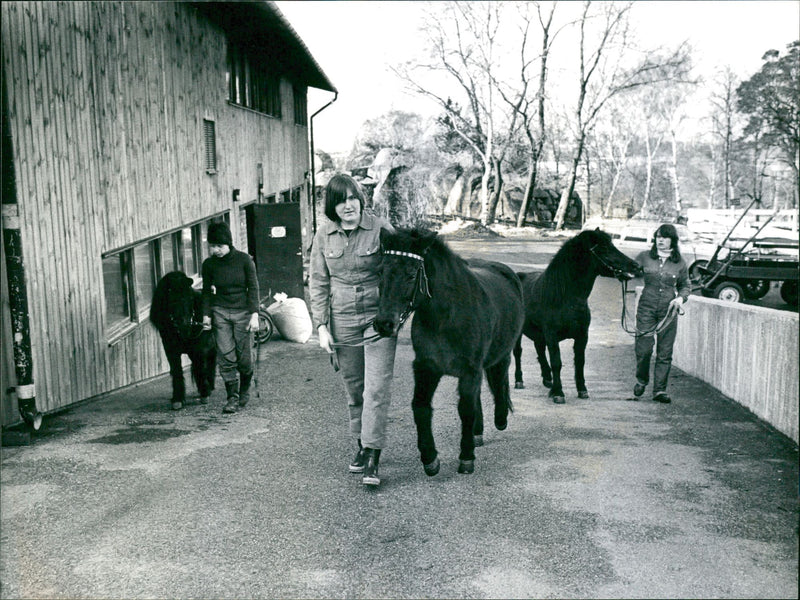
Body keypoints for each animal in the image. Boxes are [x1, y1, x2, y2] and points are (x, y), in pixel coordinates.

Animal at [149, 270, 216, 408]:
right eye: (171, 300)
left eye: (189, 298)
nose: (184, 325)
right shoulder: (170, 349)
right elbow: (177, 370)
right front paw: (178, 399)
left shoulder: (200, 346)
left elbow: (201, 365)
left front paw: (204, 393)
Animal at [374, 230, 524, 478]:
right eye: (381, 271)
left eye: (411, 274)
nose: (383, 324)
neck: (446, 318)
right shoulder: (427, 368)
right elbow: (421, 407)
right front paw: (430, 459)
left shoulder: (470, 371)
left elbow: (466, 410)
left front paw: (466, 457)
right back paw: (477, 433)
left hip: (500, 356)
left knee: (499, 381)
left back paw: (500, 419)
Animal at [512, 229, 644, 404]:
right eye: (603, 248)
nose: (637, 266)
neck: (565, 297)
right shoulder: (552, 335)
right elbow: (557, 362)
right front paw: (558, 393)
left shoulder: (582, 336)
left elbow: (580, 362)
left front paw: (582, 390)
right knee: (518, 352)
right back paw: (519, 381)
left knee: (539, 349)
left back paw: (547, 380)